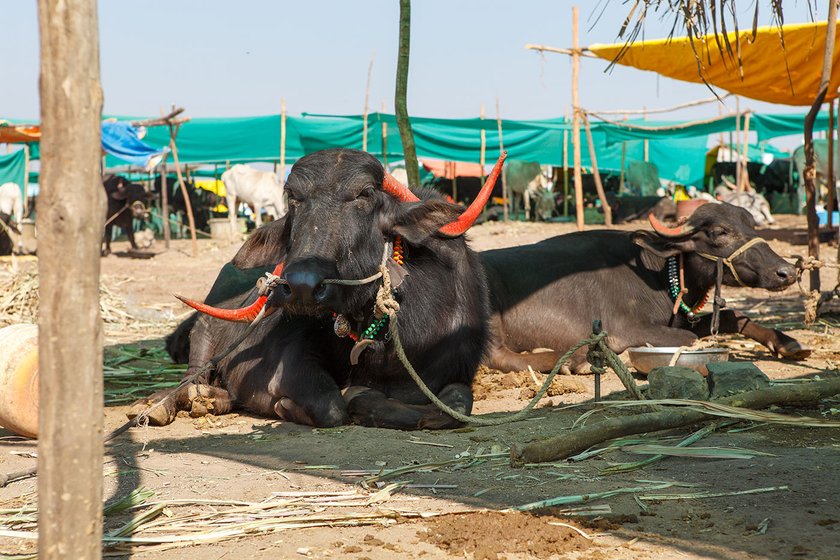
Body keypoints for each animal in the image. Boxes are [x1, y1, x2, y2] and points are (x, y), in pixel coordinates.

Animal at [142, 148, 502, 428]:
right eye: (293, 198)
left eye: (365, 194)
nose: (302, 285)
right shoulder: (288, 362)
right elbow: (332, 405)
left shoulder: (458, 367)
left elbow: (456, 404)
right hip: (203, 330)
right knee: (190, 378)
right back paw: (162, 404)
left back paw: (212, 399)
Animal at [482, 201, 812, 372]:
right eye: (720, 232)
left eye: (753, 226)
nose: (786, 272)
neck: (660, 277)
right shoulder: (628, 329)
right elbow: (689, 337)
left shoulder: (681, 317)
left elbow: (733, 316)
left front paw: (786, 342)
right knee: (496, 355)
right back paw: (573, 360)